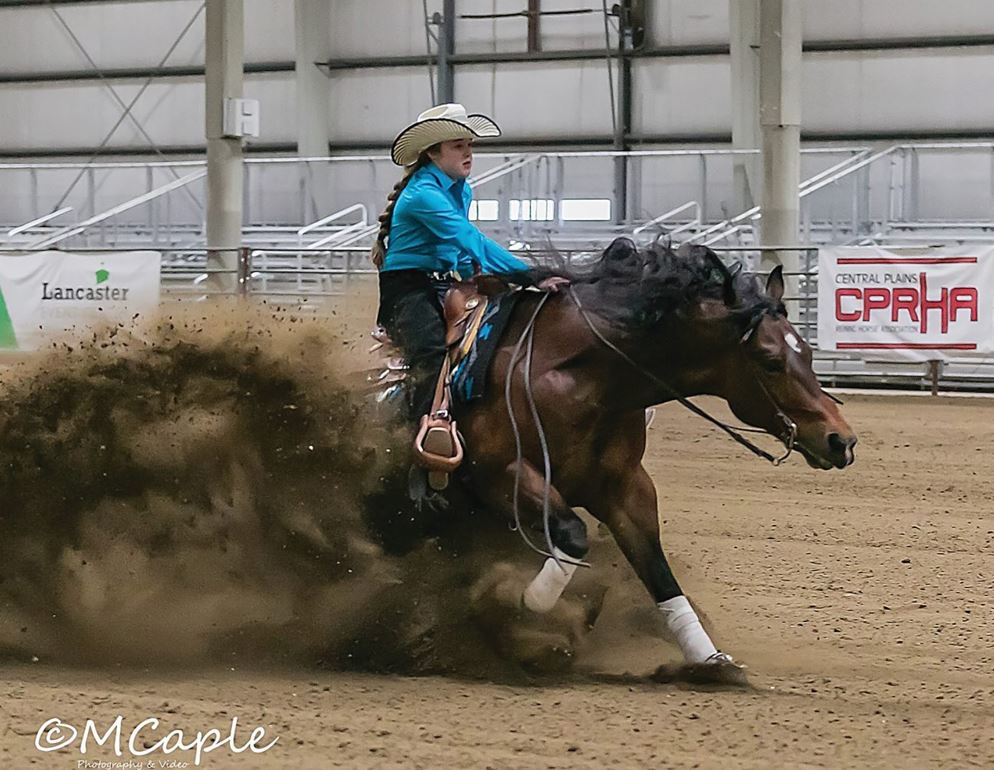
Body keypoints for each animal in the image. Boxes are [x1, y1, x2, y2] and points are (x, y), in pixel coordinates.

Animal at [450, 238, 852, 664]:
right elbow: (574, 535)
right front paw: (527, 606)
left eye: (807, 352)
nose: (841, 440)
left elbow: (659, 573)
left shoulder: (625, 489)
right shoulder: (498, 474)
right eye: (771, 361)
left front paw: (710, 660)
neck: (583, 377)